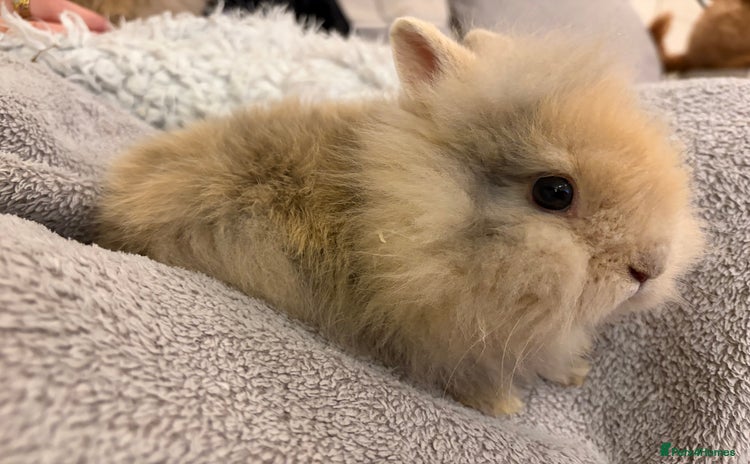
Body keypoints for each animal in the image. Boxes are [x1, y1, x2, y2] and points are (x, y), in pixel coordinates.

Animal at [96, 17, 704, 416]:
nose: (648, 269)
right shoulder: (447, 337)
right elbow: (473, 375)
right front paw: (505, 408)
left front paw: (573, 373)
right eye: (554, 192)